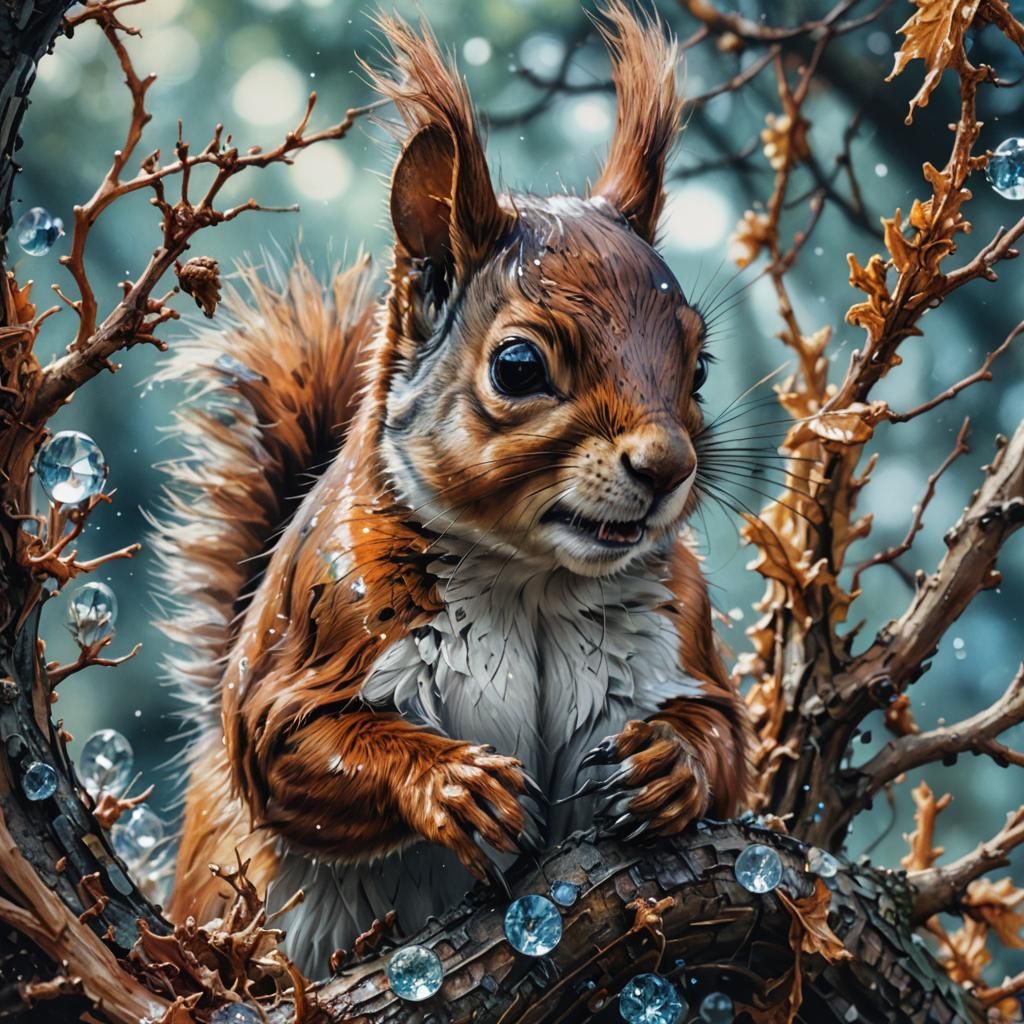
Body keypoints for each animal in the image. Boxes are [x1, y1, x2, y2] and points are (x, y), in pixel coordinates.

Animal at [155, 2, 751, 974]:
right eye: (517, 367)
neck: (534, 580)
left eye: (697, 366)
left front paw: (667, 765)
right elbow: (292, 745)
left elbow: (728, 741)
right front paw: (453, 785)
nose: (666, 468)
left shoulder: (684, 634)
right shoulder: (325, 624)